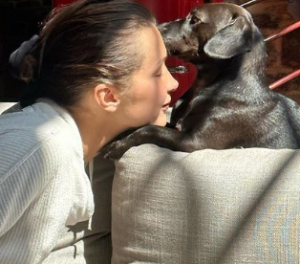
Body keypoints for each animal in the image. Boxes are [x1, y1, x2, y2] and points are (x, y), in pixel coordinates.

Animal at [99, 3, 300, 159]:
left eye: (195, 20)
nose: (157, 26)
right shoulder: (175, 127)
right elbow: (148, 124)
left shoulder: (194, 142)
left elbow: (150, 130)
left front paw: (117, 146)